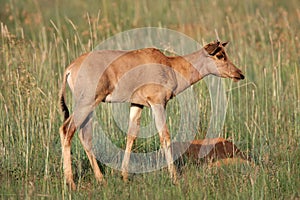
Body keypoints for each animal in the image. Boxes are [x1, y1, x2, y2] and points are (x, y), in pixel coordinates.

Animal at [58, 40, 244, 189]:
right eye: (219, 55)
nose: (240, 74)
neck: (169, 65)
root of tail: (71, 68)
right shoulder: (157, 103)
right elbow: (165, 136)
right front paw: (174, 178)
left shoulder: (137, 104)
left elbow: (131, 136)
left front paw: (124, 176)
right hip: (87, 103)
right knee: (67, 129)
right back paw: (71, 183)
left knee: (84, 135)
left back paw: (100, 179)